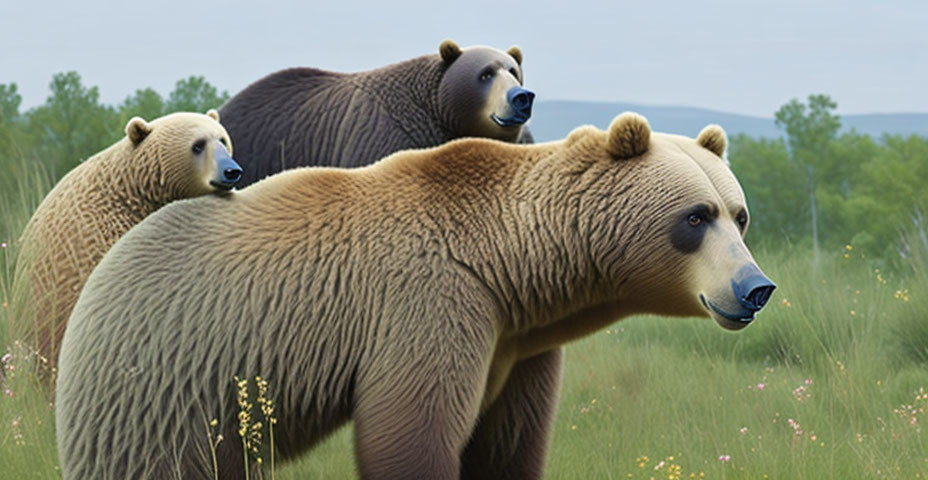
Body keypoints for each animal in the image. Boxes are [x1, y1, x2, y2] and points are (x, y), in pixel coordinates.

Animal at [54, 111, 772, 480]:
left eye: (738, 215)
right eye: (695, 217)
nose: (755, 287)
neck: (509, 265)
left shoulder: (518, 345)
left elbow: (508, 443)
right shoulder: (428, 303)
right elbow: (409, 432)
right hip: (160, 383)